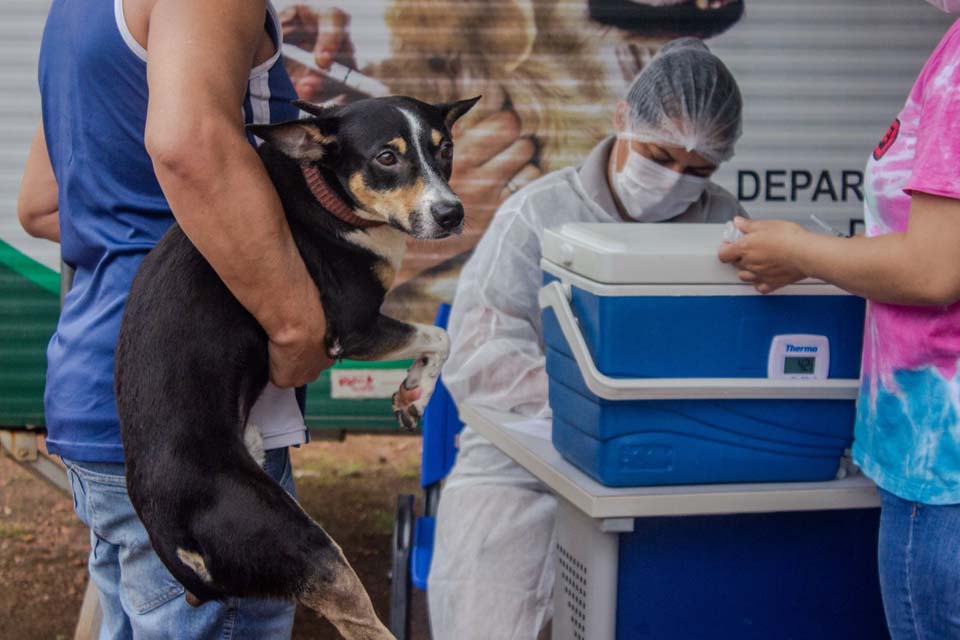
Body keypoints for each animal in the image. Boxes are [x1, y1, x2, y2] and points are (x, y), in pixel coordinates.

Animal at [115, 95, 480, 640]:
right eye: (386, 157)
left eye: (446, 149)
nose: (452, 214)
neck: (321, 191)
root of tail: (173, 538)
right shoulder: (350, 328)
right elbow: (442, 335)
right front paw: (415, 393)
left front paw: (413, 391)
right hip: (305, 546)